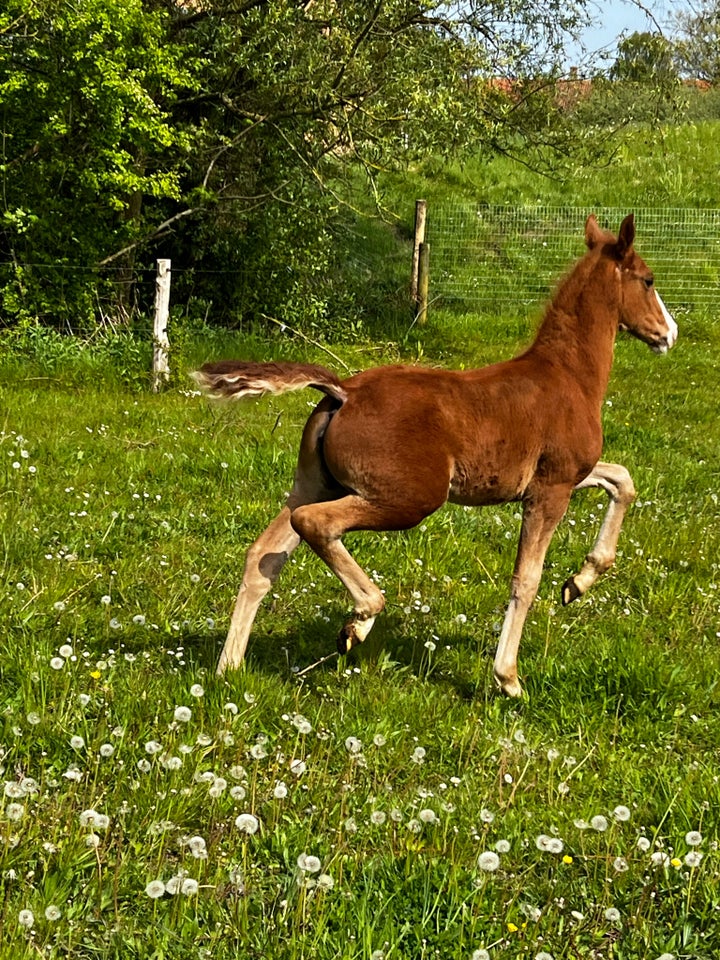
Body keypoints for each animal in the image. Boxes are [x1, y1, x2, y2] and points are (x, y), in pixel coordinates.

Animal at [194, 214, 676, 692]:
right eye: (649, 280)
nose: (668, 334)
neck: (568, 376)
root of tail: (344, 391)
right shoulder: (551, 488)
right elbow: (526, 578)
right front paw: (508, 678)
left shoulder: (568, 474)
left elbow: (623, 480)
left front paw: (578, 582)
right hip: (411, 497)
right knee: (314, 524)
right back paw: (360, 620)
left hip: (314, 483)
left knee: (262, 556)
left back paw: (228, 669)